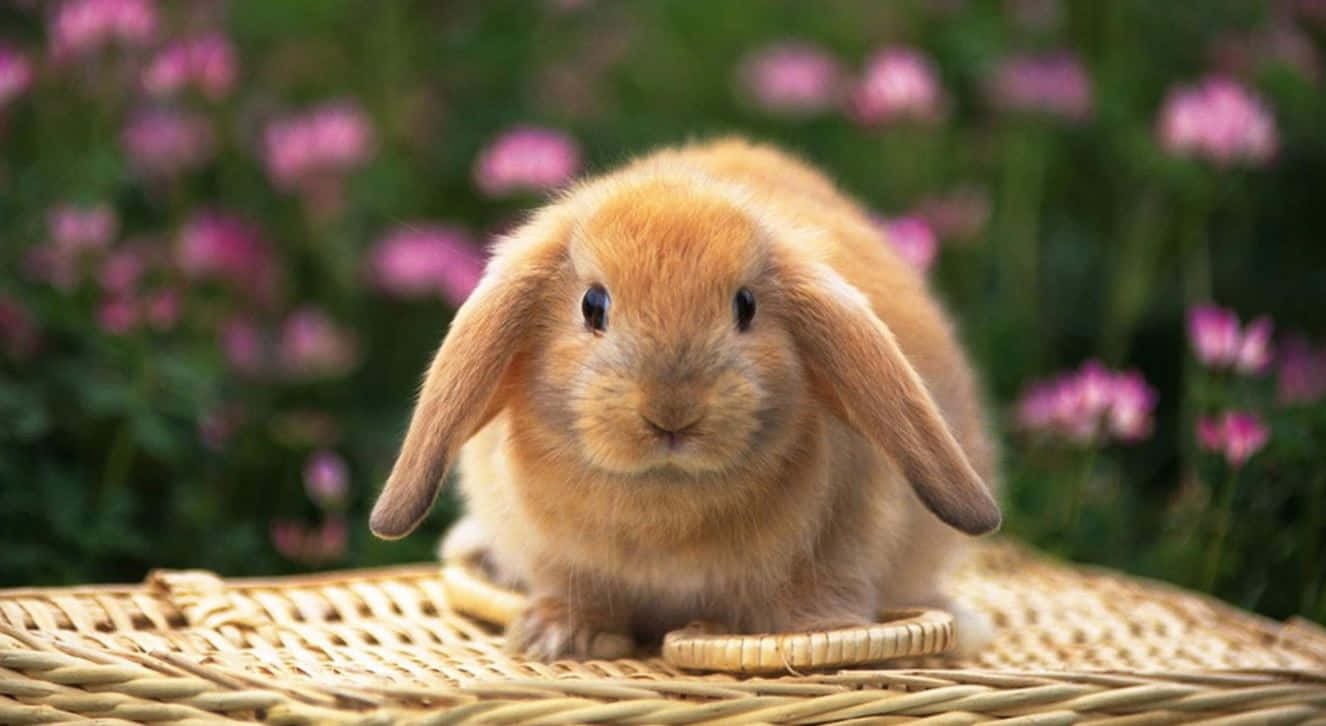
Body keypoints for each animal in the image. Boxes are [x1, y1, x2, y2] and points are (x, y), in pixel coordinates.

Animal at [370, 137, 1001, 661]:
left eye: (745, 306)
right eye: (592, 305)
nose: (672, 410)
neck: (665, 501)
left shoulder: (838, 546)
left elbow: (816, 600)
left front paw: (820, 637)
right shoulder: (556, 558)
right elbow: (573, 590)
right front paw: (559, 636)